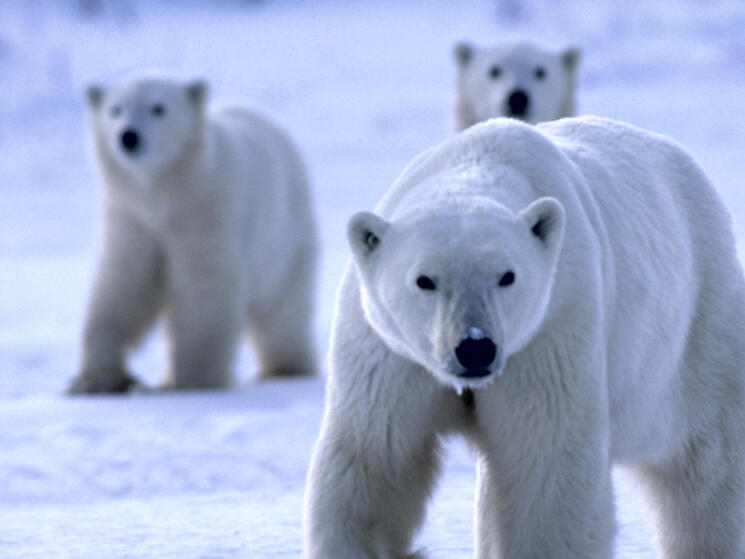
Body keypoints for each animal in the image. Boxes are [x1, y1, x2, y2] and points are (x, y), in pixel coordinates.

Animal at [67, 71, 316, 394]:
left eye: (158, 108)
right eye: (115, 109)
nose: (129, 137)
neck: (164, 192)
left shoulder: (204, 210)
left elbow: (203, 288)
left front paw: (194, 382)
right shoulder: (132, 218)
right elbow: (124, 284)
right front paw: (97, 379)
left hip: (284, 236)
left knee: (283, 309)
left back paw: (287, 368)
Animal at [302, 116, 744, 556]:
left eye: (507, 276)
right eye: (424, 280)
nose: (475, 348)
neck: (478, 164)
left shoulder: (549, 332)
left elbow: (544, 470)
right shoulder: (390, 355)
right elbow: (374, 463)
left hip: (691, 333)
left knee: (705, 464)